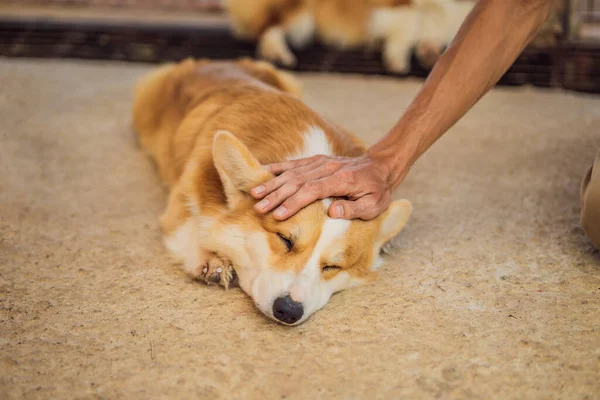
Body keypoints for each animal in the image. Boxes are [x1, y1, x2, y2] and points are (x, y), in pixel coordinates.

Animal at [131, 59, 412, 326]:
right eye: (285, 239)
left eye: (333, 266)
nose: (288, 311)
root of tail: (213, 62)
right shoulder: (181, 201)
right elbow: (190, 227)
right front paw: (211, 260)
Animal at [223, 0, 476, 74]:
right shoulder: (396, 7)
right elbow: (409, 25)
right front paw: (396, 59)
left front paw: (430, 53)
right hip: (300, 12)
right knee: (269, 29)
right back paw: (279, 52)